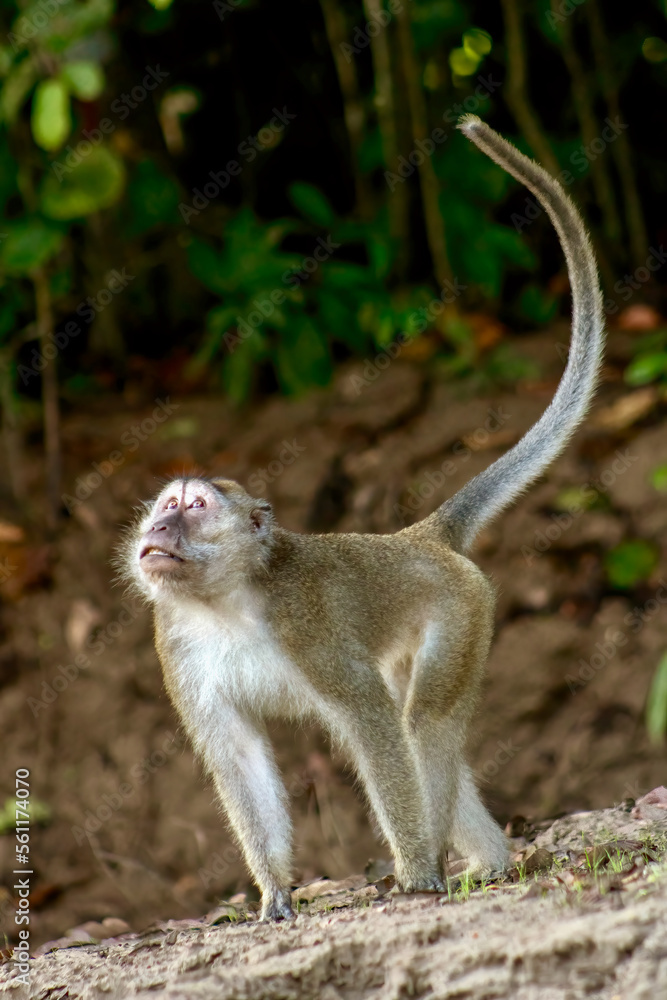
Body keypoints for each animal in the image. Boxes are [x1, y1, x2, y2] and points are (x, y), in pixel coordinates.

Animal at [120, 117, 604, 920]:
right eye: (164, 507)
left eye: (194, 508)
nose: (158, 533)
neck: (226, 600)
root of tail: (419, 538)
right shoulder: (176, 643)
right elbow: (240, 756)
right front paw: (275, 892)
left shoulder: (303, 622)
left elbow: (372, 722)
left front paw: (412, 868)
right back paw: (492, 862)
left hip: (463, 610)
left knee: (422, 722)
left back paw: (435, 863)